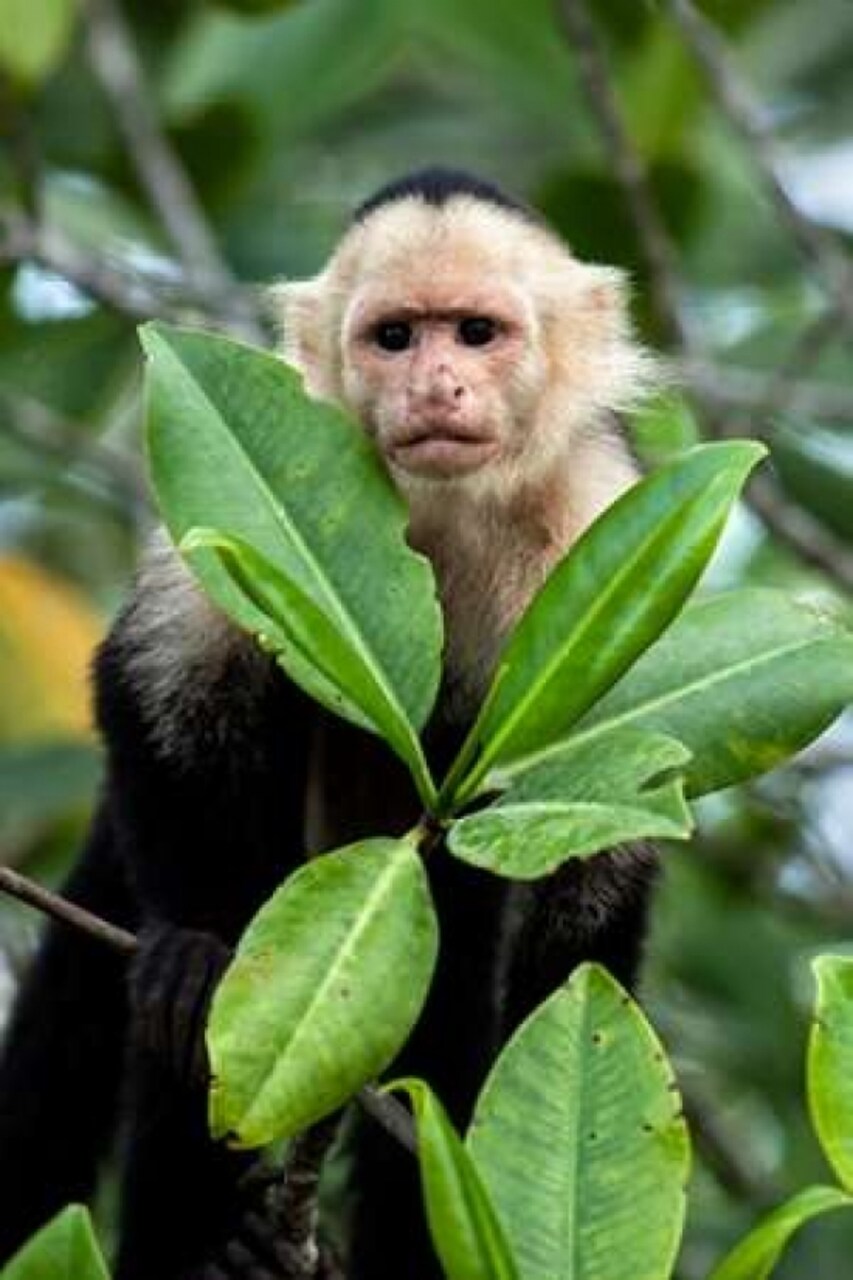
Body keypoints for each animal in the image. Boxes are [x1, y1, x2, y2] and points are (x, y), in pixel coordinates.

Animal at [0, 167, 660, 1280]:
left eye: (475, 332)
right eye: (394, 337)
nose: (435, 386)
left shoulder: (594, 519)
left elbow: (598, 855)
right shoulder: (254, 463)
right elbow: (155, 683)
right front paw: (196, 945)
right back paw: (207, 1232)